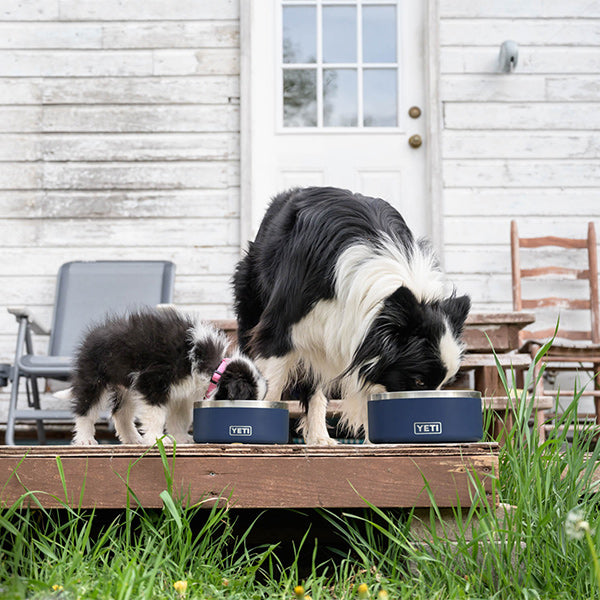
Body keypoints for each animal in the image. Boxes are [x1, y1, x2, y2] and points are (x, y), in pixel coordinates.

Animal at [65, 310, 268, 446]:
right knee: (85, 409)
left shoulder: (182, 394)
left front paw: (181, 438)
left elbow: (180, 419)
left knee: (121, 412)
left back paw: (133, 439)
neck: (214, 368)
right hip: (93, 379)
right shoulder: (153, 382)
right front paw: (157, 439)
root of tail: (92, 335)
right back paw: (85, 439)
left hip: (127, 388)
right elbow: (156, 414)